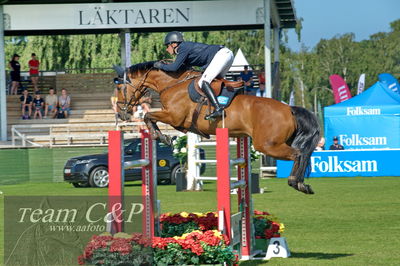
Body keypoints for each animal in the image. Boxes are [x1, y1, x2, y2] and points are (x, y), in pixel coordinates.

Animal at [114, 61, 320, 194]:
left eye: (118, 88)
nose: (122, 114)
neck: (172, 84)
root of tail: (289, 109)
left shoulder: (174, 116)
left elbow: (149, 116)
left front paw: (161, 136)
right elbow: (150, 117)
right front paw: (161, 136)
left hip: (267, 145)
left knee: (298, 154)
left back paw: (298, 183)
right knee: (302, 153)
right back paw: (301, 184)